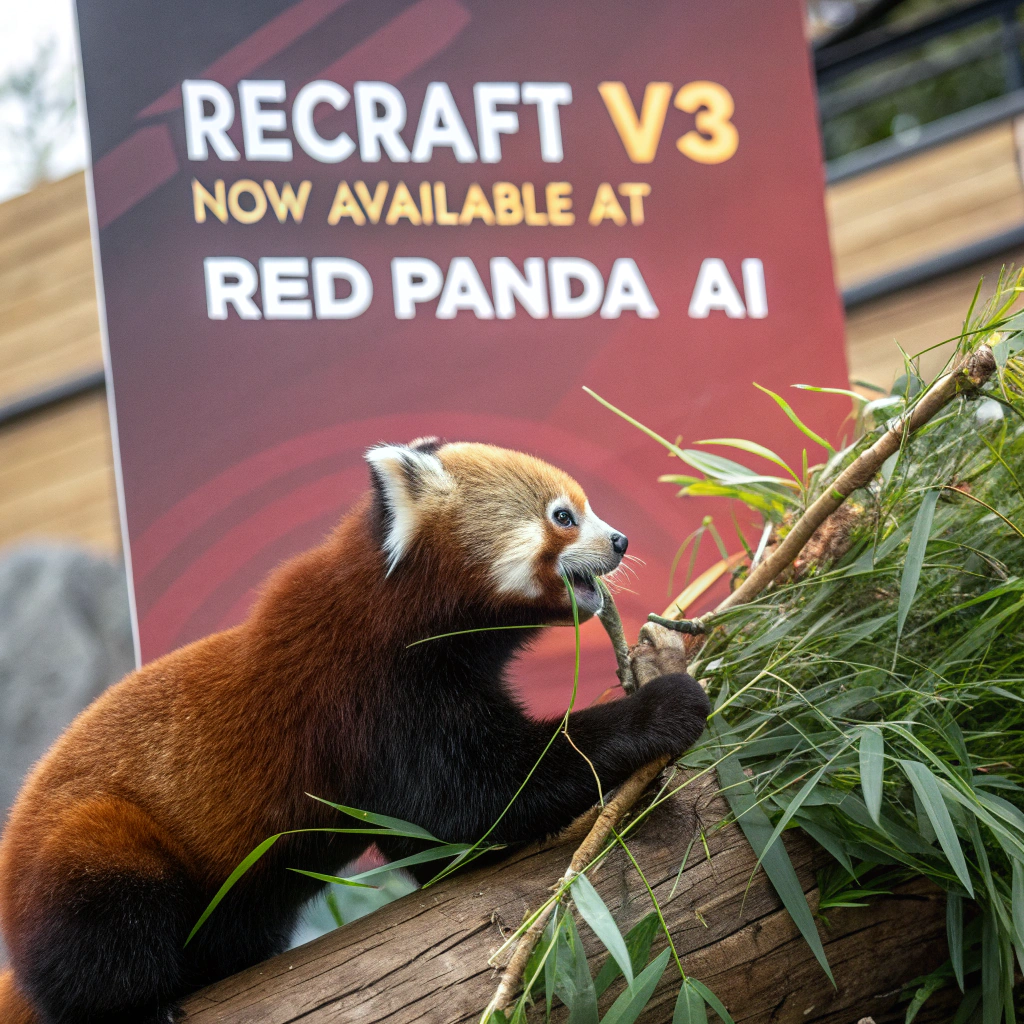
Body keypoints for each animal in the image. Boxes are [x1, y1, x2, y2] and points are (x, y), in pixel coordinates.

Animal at [0, 439, 710, 1024]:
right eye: (563, 517)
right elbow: (472, 800)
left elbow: (437, 836)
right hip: (93, 846)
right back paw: (134, 1006)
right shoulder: (373, 695)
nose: (619, 541)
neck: (399, 613)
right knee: (105, 934)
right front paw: (664, 706)